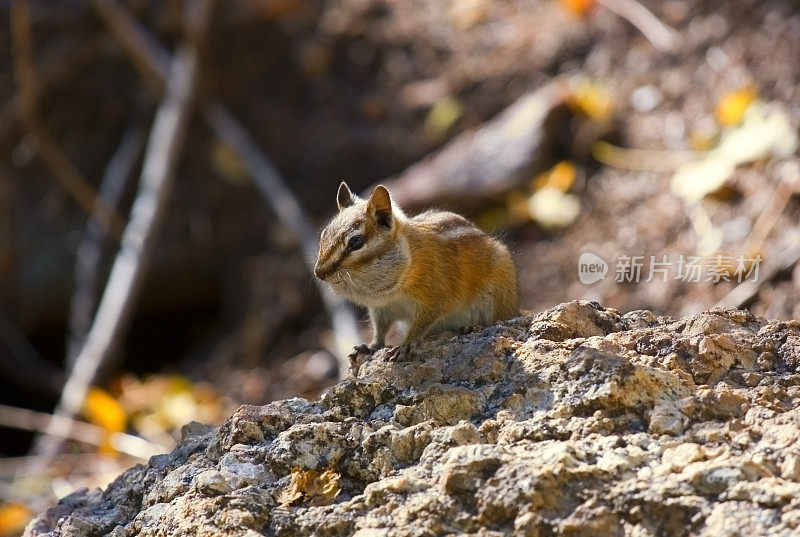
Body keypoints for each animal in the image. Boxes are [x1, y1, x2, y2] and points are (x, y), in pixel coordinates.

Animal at [312, 181, 520, 360]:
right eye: (324, 233)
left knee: (497, 319)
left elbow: (422, 323)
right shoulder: (381, 307)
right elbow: (380, 328)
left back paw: (473, 327)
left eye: (356, 242)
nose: (319, 273)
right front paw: (371, 346)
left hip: (499, 294)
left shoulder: (435, 295)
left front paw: (406, 345)